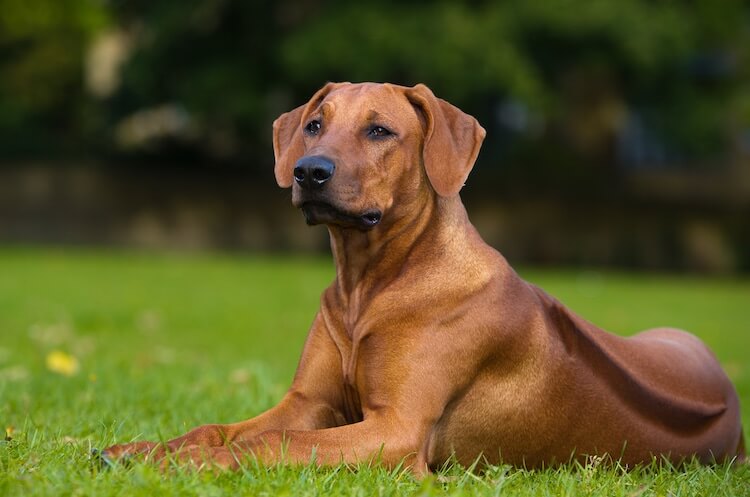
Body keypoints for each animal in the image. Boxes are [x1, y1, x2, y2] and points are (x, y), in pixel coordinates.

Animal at [101, 82, 748, 472]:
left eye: (380, 131)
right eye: (314, 125)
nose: (309, 171)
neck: (368, 285)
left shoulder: (398, 430)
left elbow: (277, 441)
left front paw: (180, 464)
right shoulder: (309, 401)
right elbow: (220, 427)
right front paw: (144, 447)